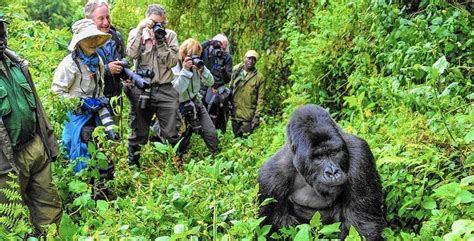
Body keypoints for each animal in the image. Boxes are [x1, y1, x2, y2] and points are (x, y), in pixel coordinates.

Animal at [258, 104, 386, 240]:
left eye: (334, 152)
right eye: (319, 157)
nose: (332, 172)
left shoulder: (360, 153)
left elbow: (362, 225)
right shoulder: (270, 179)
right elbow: (274, 228)